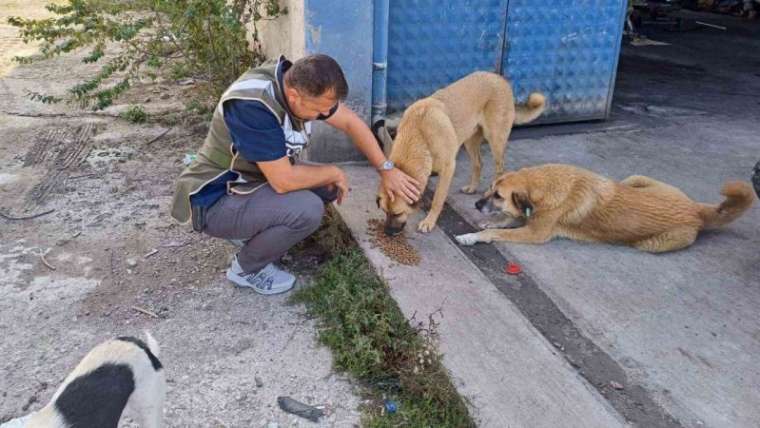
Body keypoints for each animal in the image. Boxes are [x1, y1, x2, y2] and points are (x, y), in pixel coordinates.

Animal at [376, 72, 548, 236]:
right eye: (384, 212)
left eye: (398, 213)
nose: (388, 233)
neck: (419, 134)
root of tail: (500, 78)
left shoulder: (448, 169)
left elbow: (438, 199)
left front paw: (429, 221)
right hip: (470, 140)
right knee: (478, 163)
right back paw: (472, 188)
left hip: (495, 140)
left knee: (500, 168)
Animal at [454, 163, 756, 251]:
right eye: (489, 189)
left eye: (498, 195)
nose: (477, 203)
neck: (545, 184)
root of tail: (695, 208)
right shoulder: (532, 218)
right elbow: (506, 221)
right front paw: (491, 220)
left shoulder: (536, 233)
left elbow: (498, 231)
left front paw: (472, 236)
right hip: (635, 178)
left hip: (649, 244)